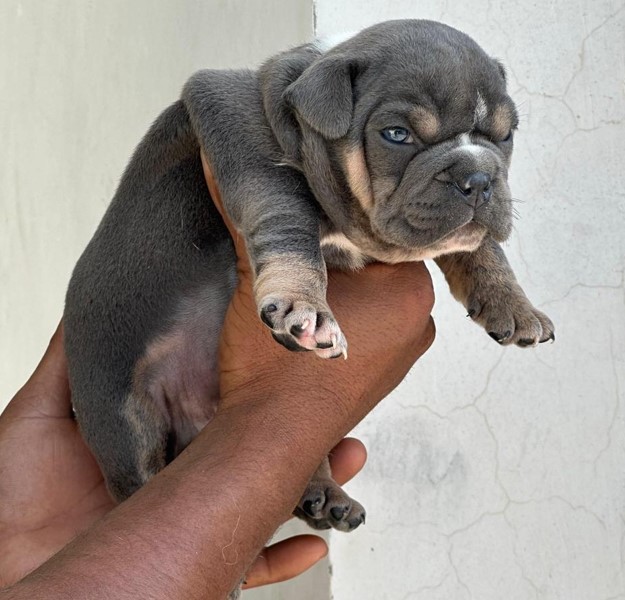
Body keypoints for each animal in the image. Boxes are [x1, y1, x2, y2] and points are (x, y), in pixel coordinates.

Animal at [63, 18, 552, 548]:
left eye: (505, 136)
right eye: (396, 135)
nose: (480, 179)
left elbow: (478, 245)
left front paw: (513, 303)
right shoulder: (237, 124)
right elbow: (285, 208)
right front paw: (305, 305)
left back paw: (323, 495)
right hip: (119, 416)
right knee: (139, 475)